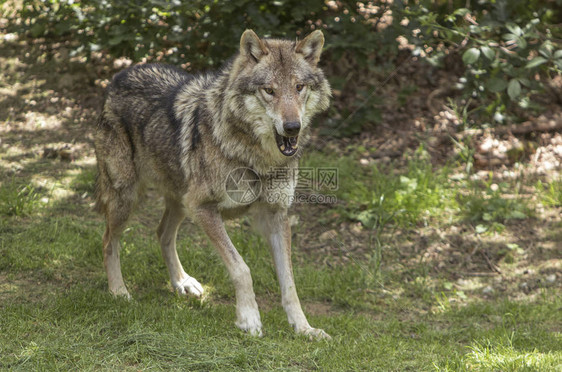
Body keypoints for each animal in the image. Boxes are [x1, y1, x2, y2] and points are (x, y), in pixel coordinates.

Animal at [91, 28, 328, 338]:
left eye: (299, 87)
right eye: (269, 90)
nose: (292, 127)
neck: (257, 159)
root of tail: (118, 77)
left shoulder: (276, 215)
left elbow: (289, 282)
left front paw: (304, 328)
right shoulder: (204, 208)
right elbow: (242, 269)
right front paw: (249, 319)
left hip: (180, 202)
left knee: (162, 233)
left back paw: (182, 282)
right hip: (128, 198)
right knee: (109, 240)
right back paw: (119, 292)